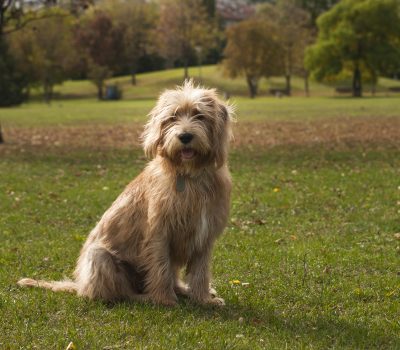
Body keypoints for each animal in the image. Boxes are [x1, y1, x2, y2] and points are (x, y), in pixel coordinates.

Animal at [17, 82, 234, 306]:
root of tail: (80, 285)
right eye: (173, 117)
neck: (190, 176)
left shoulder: (205, 235)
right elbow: (161, 268)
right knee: (119, 293)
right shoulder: (159, 233)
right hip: (100, 256)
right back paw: (147, 297)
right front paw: (165, 300)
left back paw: (182, 290)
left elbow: (200, 271)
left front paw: (203, 299)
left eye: (199, 115)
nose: (185, 137)